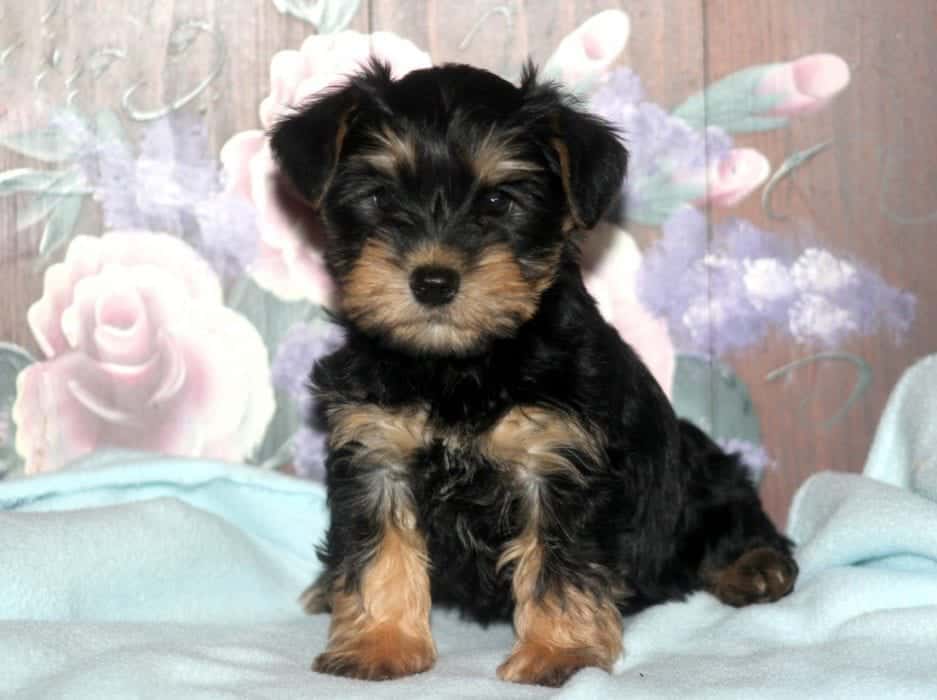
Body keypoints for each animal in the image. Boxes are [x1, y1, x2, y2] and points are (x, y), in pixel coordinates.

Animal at [268, 63, 796, 688]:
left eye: (500, 201)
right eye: (379, 197)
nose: (433, 281)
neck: (460, 365)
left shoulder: (559, 462)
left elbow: (559, 563)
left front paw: (557, 653)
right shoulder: (377, 453)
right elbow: (379, 551)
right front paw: (381, 641)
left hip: (700, 474)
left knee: (729, 506)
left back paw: (755, 565)